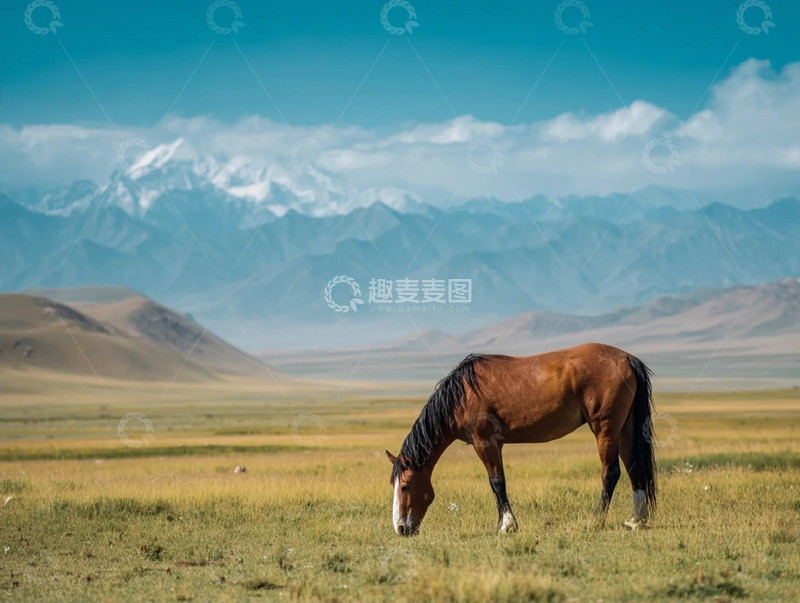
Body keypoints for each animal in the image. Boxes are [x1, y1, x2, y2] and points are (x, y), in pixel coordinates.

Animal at [386, 343, 657, 536]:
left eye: (405, 486)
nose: (401, 528)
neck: (461, 396)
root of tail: (627, 359)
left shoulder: (484, 442)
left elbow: (497, 482)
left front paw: (507, 525)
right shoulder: (496, 444)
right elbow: (497, 483)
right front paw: (502, 523)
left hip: (605, 429)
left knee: (611, 473)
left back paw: (596, 520)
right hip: (624, 428)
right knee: (633, 468)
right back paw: (636, 520)